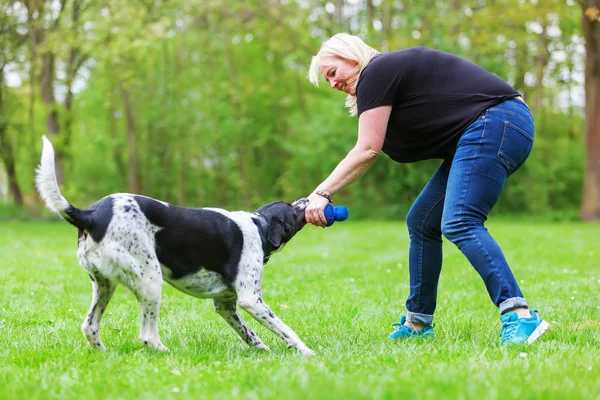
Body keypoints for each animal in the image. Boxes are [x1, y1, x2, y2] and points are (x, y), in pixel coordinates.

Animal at [35, 136, 314, 354]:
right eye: (292, 210)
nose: (306, 200)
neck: (259, 225)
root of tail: (91, 215)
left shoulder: (225, 305)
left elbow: (250, 334)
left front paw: (263, 351)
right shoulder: (251, 299)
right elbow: (286, 330)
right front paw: (306, 352)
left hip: (104, 285)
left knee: (90, 327)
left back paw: (105, 353)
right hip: (150, 279)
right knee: (147, 336)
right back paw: (164, 352)